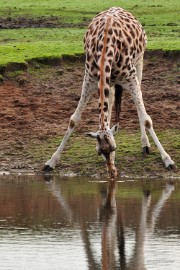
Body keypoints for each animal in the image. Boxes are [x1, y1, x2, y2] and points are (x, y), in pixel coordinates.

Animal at [42, 6, 176, 177]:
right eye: (100, 151)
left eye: (114, 148)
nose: (113, 173)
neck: (106, 47)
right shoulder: (90, 78)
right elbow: (74, 120)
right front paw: (51, 162)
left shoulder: (130, 77)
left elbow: (146, 119)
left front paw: (168, 160)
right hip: (110, 82)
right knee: (111, 100)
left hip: (139, 62)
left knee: (137, 102)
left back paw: (145, 145)